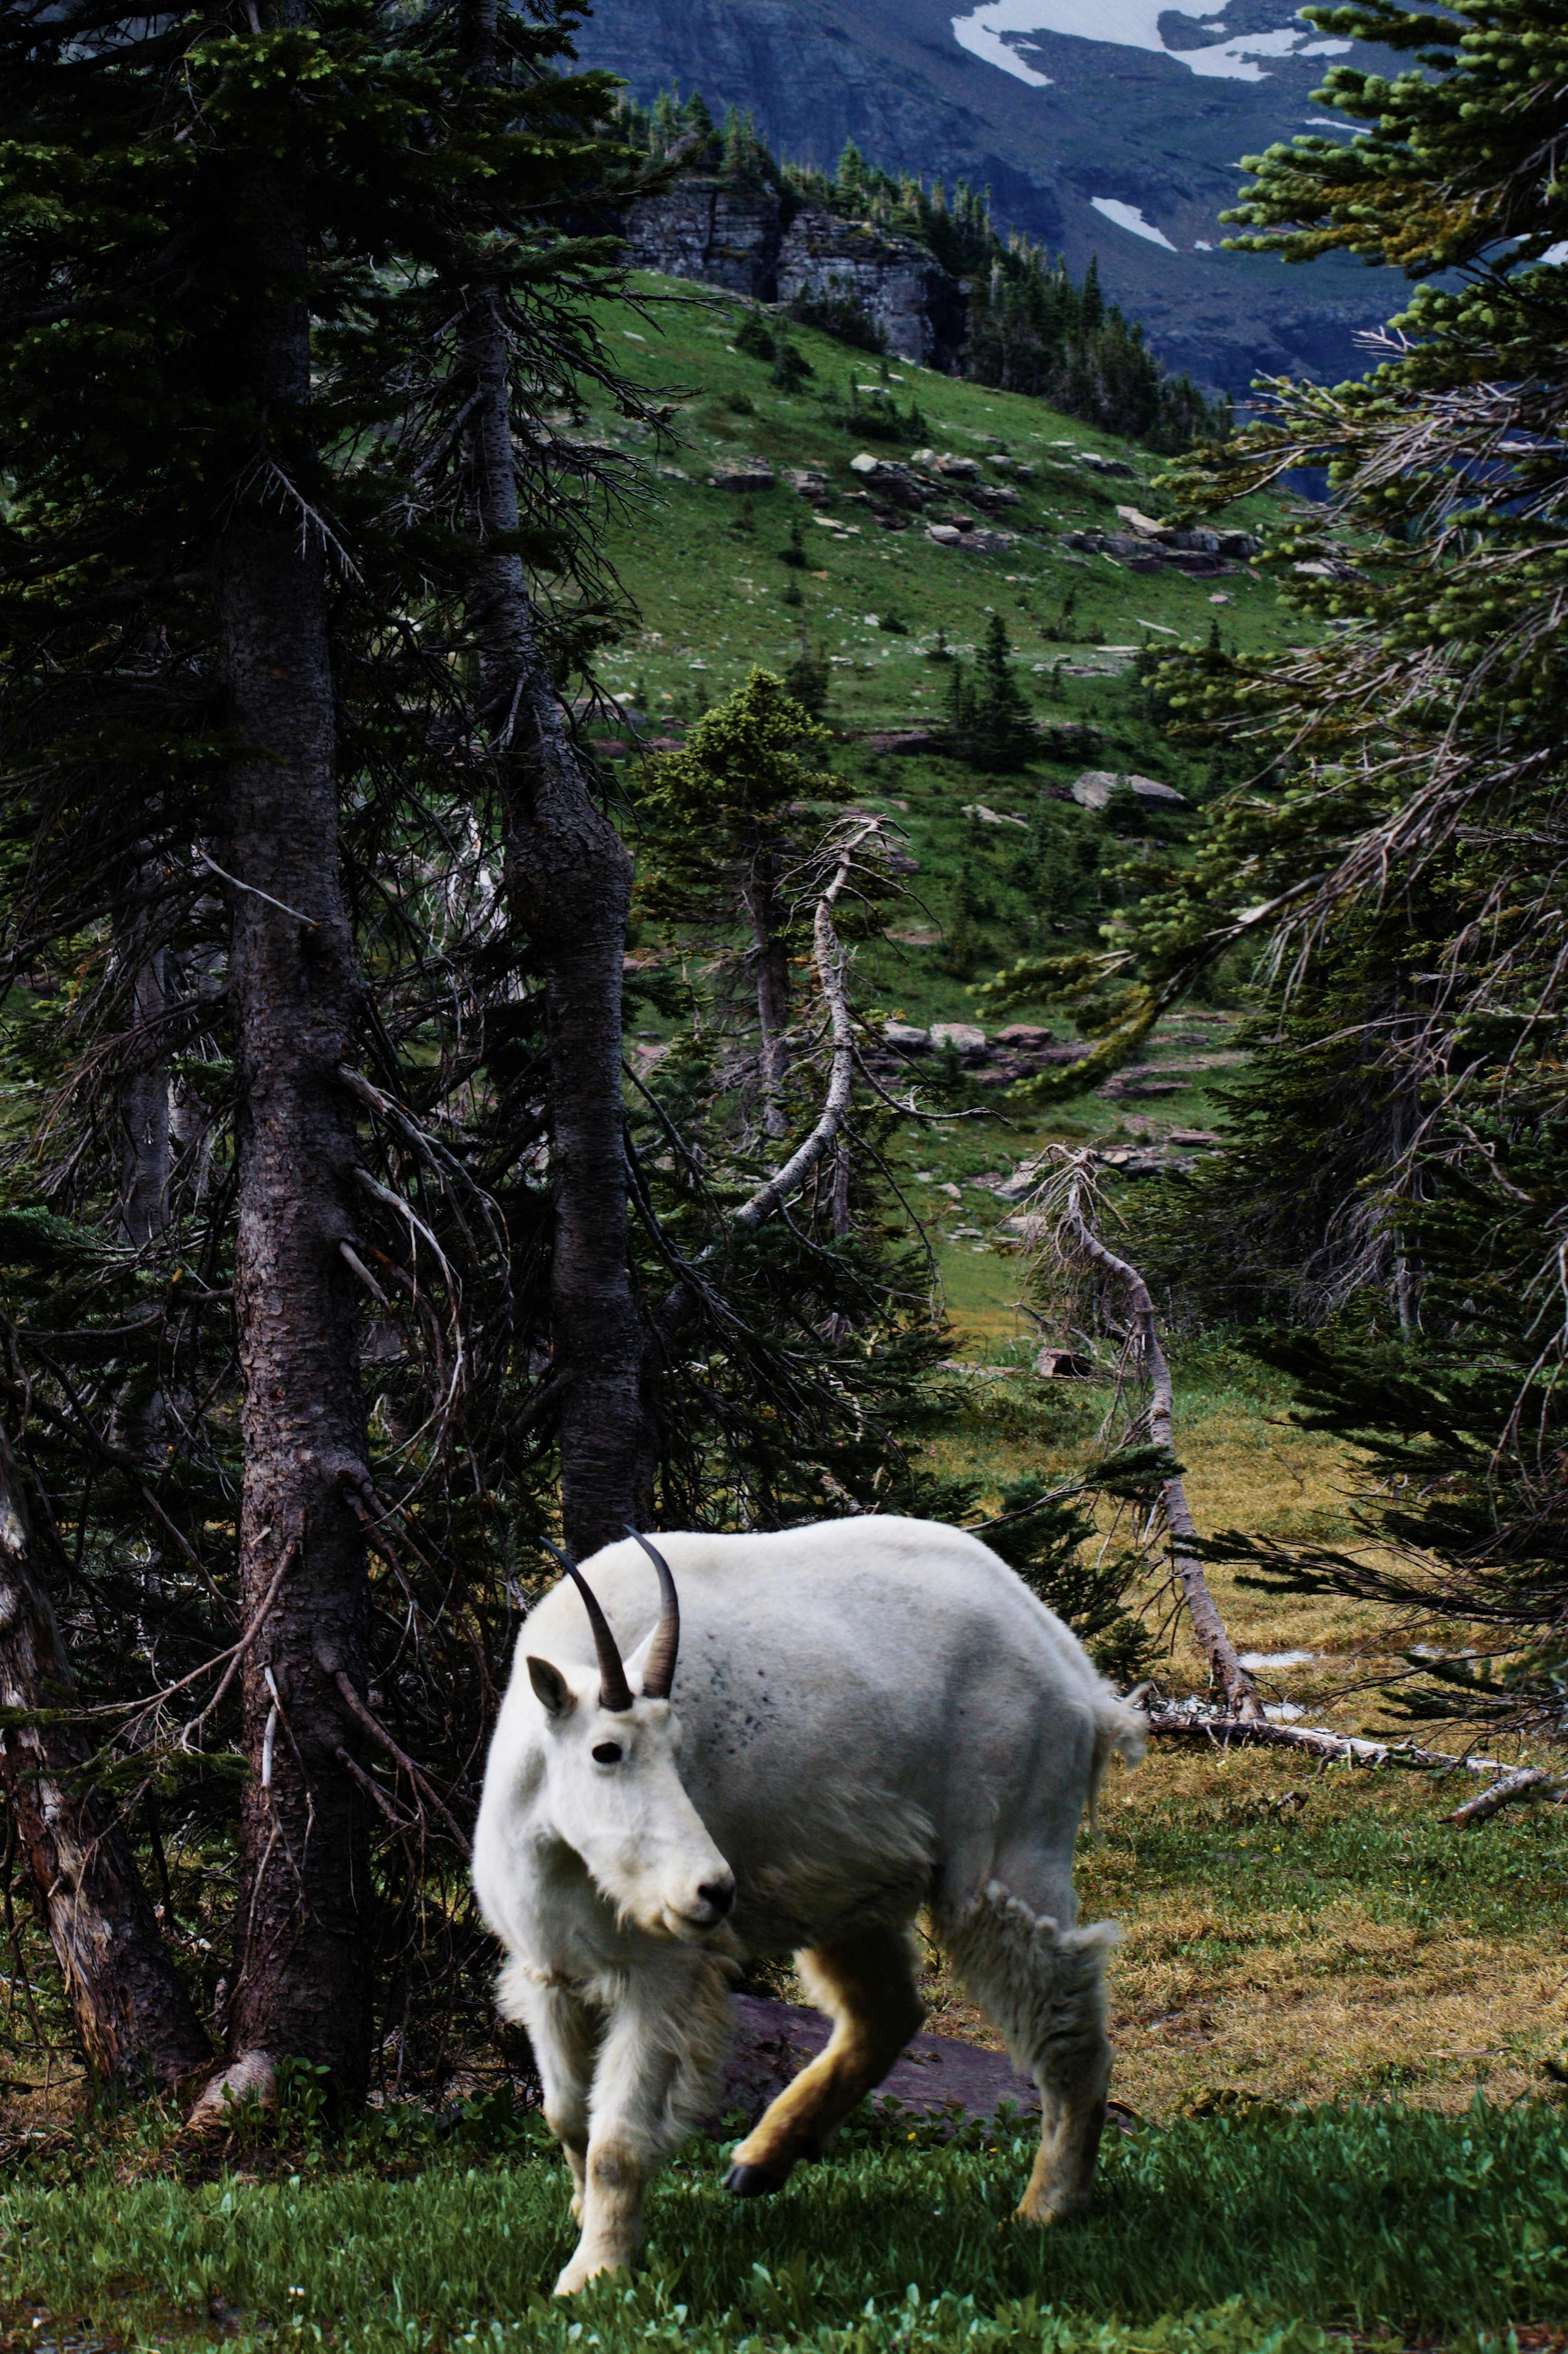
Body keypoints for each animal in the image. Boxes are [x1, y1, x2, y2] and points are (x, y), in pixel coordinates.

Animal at [472, 1516, 1145, 2295]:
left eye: (680, 1747)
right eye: (605, 1750)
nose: (712, 1890)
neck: (555, 1845)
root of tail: (1070, 1667)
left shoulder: (662, 1973)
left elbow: (615, 2138)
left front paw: (595, 2273)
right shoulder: (549, 1969)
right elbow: (566, 2118)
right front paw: (584, 2220)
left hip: (1013, 1849)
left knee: (1066, 2015)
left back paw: (1046, 2206)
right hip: (849, 1882)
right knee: (888, 2011)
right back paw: (760, 2162)